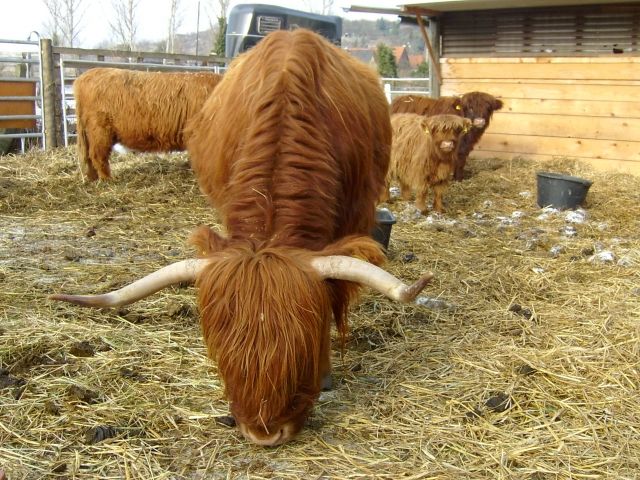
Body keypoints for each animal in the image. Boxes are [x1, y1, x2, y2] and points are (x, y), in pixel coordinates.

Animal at [73, 68, 223, 181]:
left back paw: (93, 178)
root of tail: (84, 77)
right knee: (97, 155)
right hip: (100, 130)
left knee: (89, 156)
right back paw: (107, 179)